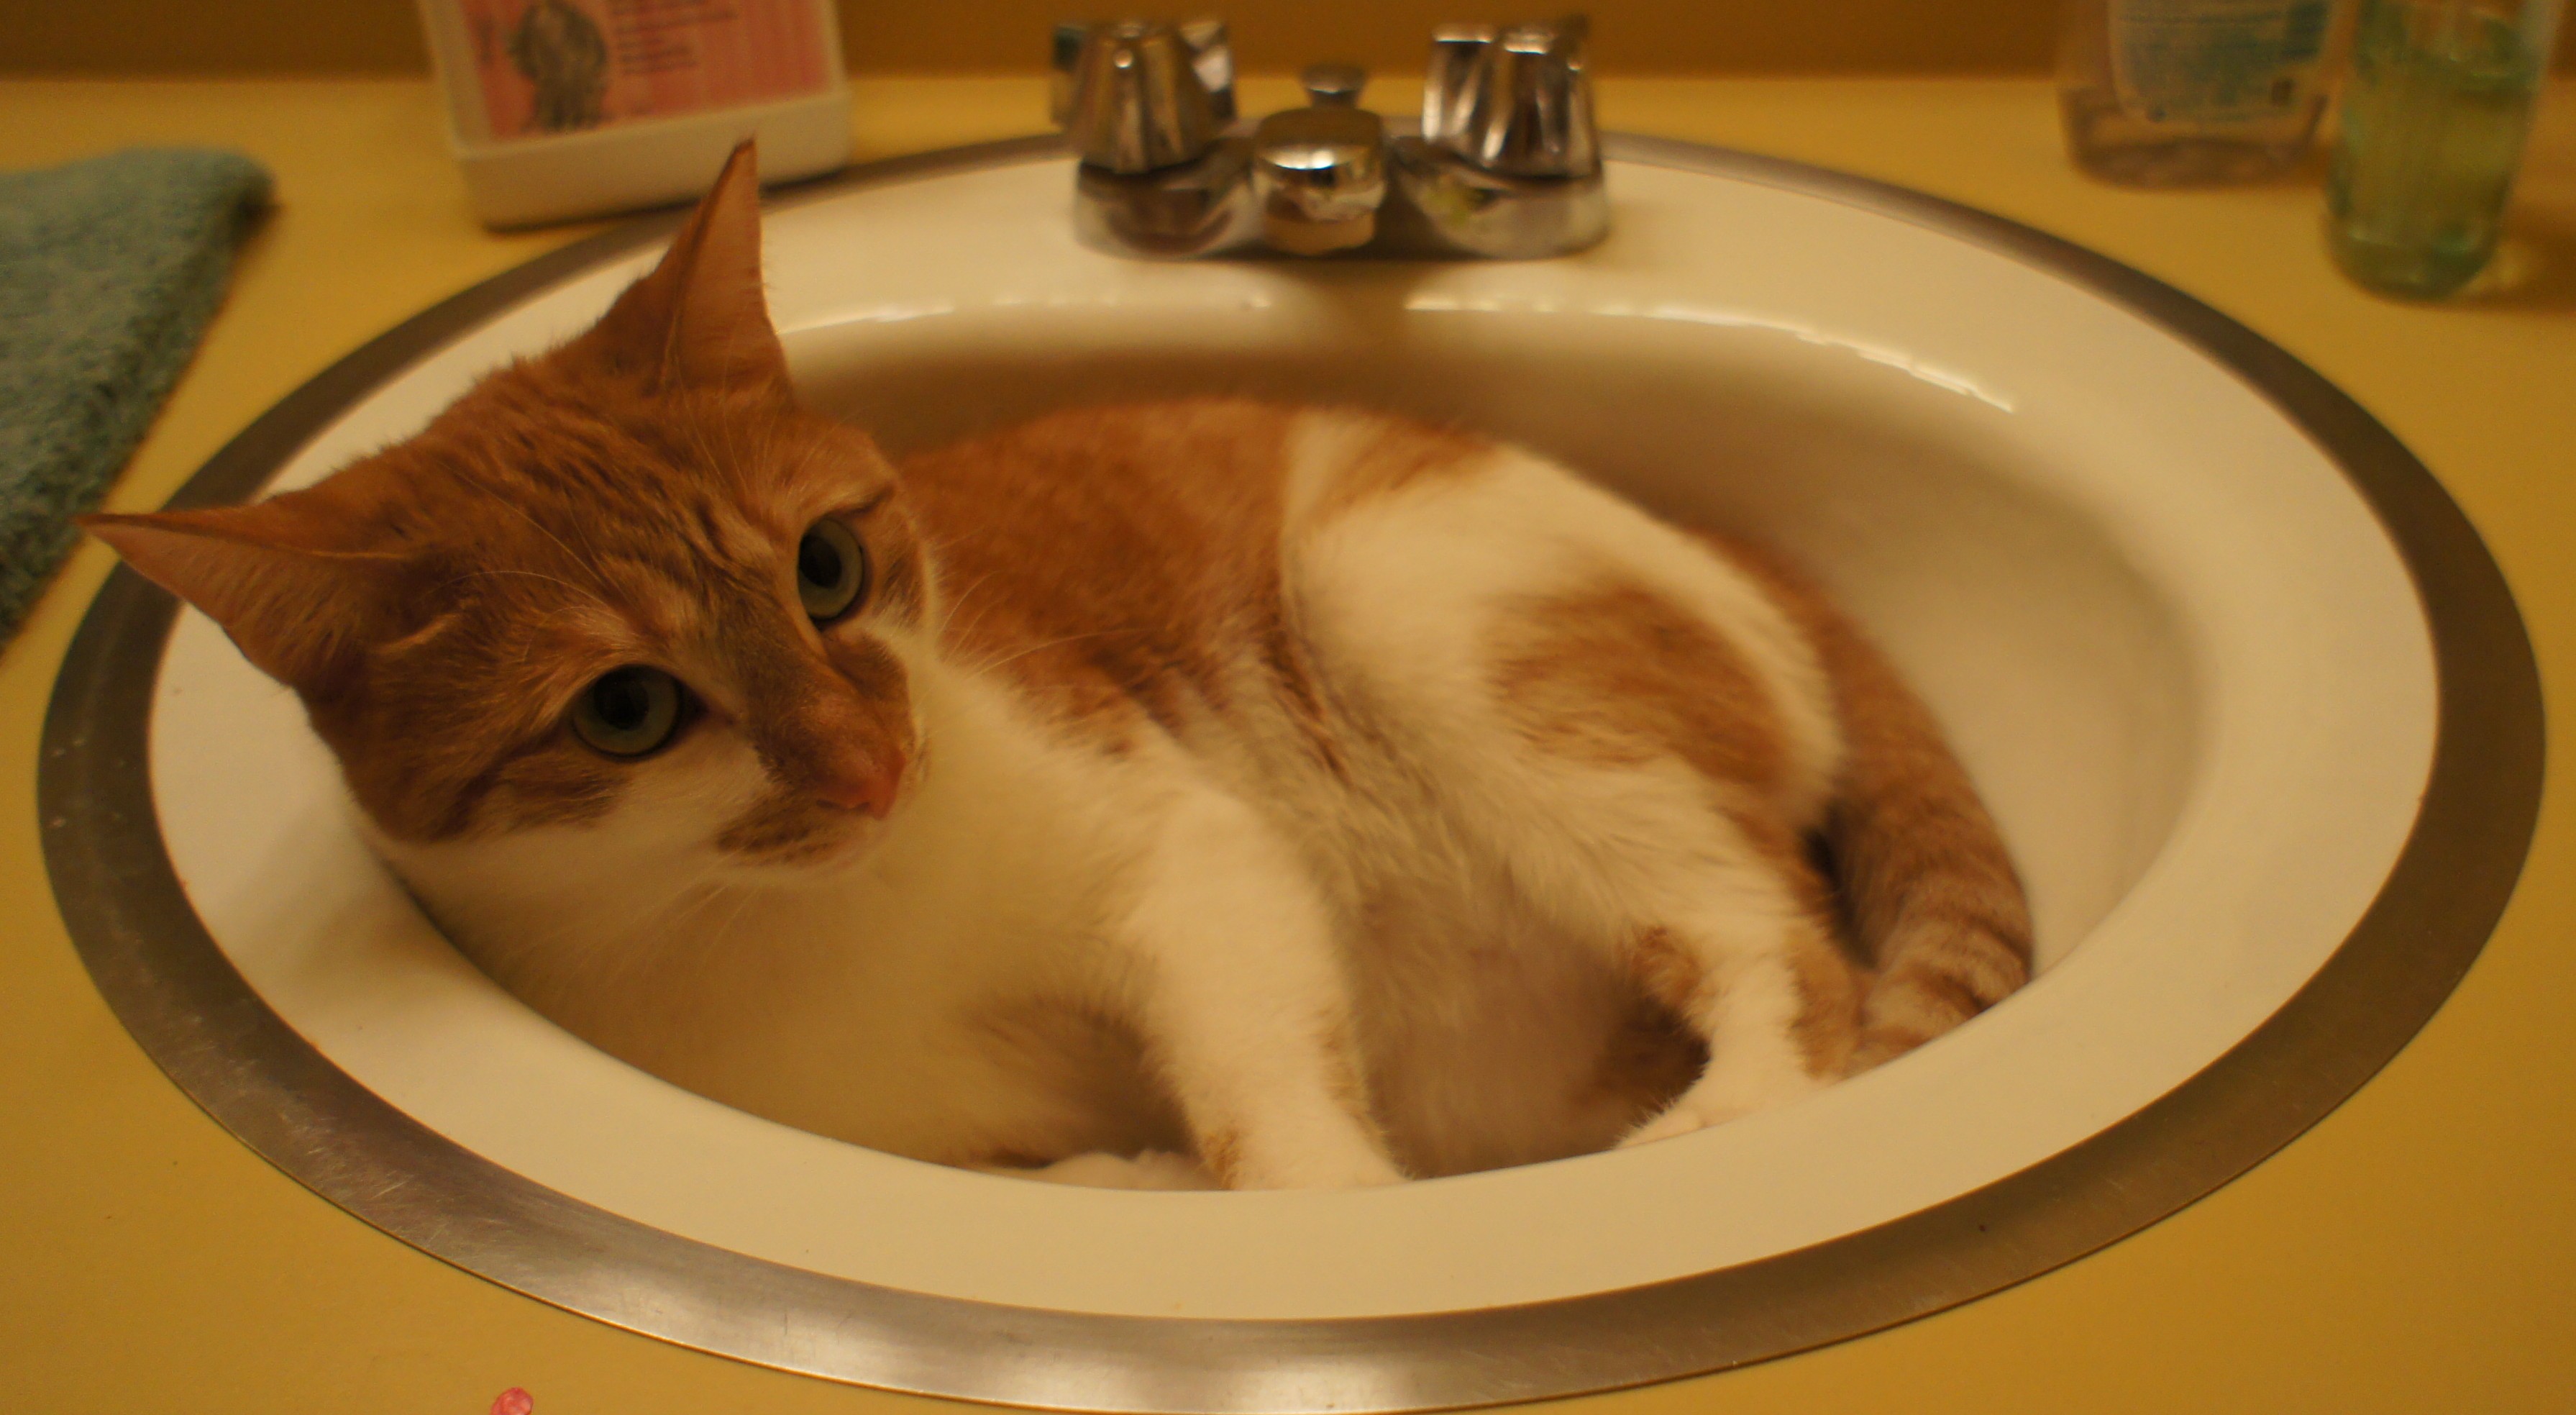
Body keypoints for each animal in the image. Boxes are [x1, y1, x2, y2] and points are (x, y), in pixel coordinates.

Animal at [86, 143, 2029, 1186]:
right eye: (627, 709)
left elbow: (1270, 1114)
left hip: (1407, 602)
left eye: (828, 568)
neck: (807, 930)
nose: (874, 769)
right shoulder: (941, 1128)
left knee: (1780, 949)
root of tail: (1745, 547)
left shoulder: (1185, 861)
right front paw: (1140, 1169)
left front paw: (1297, 1194)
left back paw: (1710, 1136)